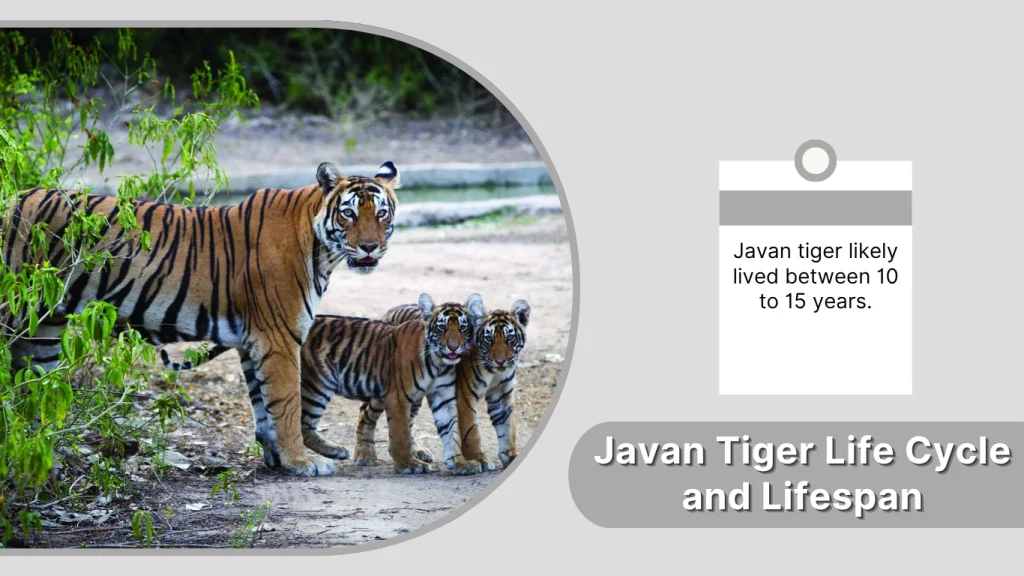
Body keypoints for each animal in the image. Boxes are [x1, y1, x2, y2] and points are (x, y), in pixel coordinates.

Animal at [4, 160, 400, 477]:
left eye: (381, 213)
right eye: (348, 213)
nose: (370, 247)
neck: (323, 251)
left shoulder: (252, 342)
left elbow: (264, 407)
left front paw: (277, 460)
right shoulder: (279, 338)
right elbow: (287, 403)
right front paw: (302, 462)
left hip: (43, 330)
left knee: (32, 394)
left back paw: (43, 460)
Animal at [454, 296, 531, 472]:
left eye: (510, 338)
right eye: (489, 338)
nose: (500, 361)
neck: (494, 372)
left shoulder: (501, 394)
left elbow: (507, 427)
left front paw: (511, 455)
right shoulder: (464, 395)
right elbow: (470, 430)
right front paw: (478, 459)